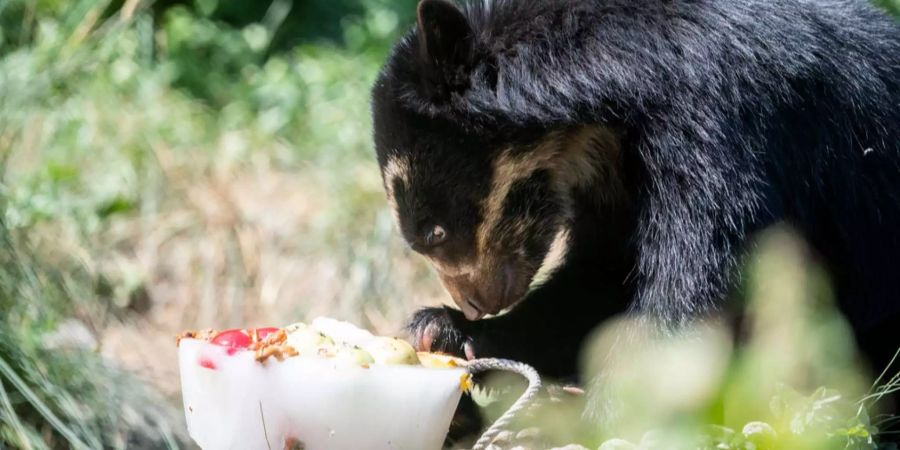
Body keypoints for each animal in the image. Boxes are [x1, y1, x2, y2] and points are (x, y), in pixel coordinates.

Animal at [370, 0, 900, 390]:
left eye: (434, 232)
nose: (477, 304)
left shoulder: (722, 126)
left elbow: (706, 273)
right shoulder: (610, 185)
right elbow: (600, 278)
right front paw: (440, 331)